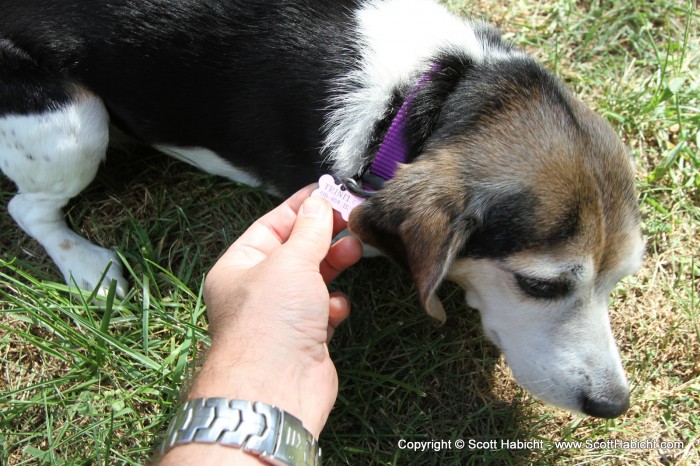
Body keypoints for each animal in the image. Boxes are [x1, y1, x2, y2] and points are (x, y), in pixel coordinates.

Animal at [1, 0, 644, 418]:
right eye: (541, 286)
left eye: (619, 280)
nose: (613, 405)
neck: (428, 94)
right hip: (74, 124)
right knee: (27, 207)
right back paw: (90, 269)